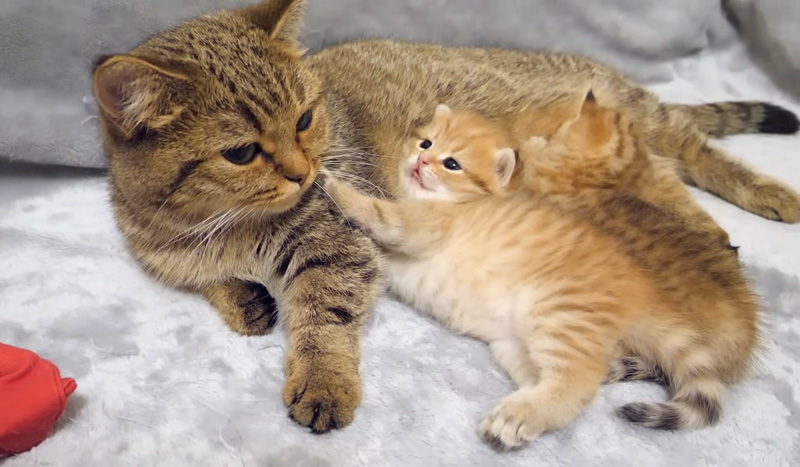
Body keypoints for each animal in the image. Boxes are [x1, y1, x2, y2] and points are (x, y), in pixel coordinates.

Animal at [322, 103, 760, 450]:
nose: (420, 162)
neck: (456, 202)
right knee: (568, 382)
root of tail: (648, 293)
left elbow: (381, 214)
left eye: (452, 164)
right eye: (426, 144)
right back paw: (525, 413)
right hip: (516, 345)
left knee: (579, 383)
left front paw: (335, 187)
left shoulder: (423, 226)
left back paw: (516, 417)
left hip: (561, 313)